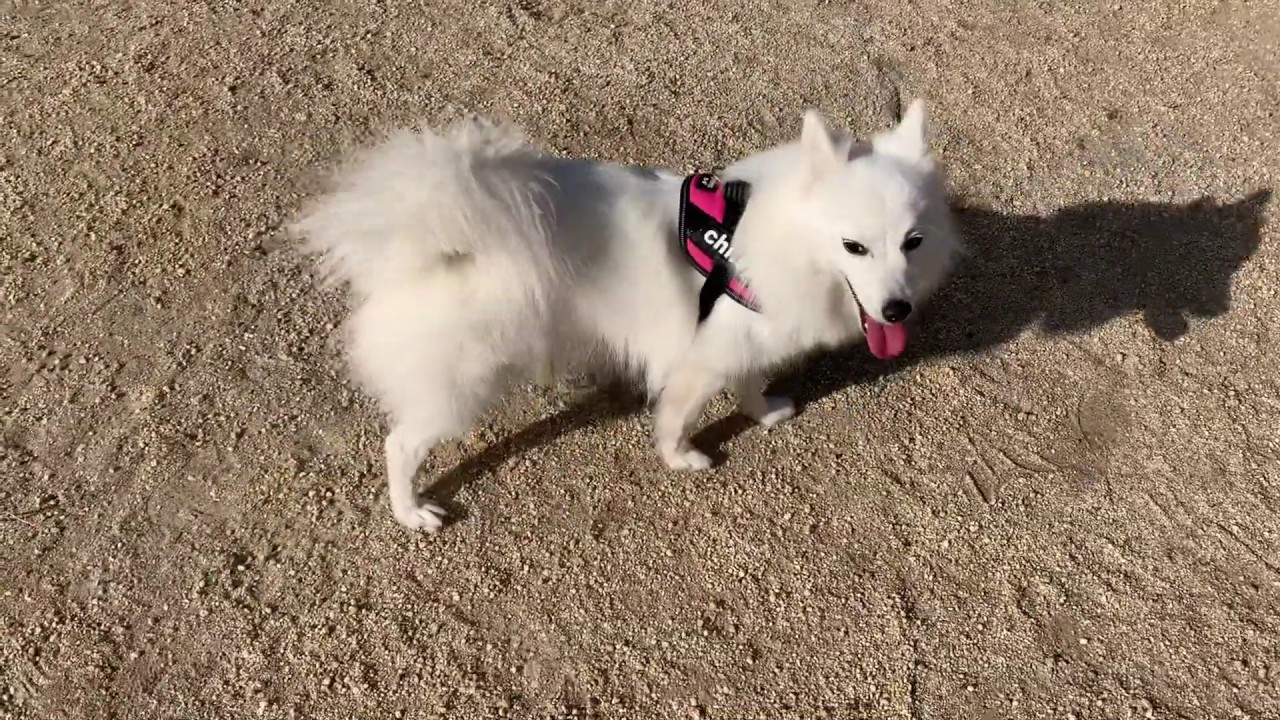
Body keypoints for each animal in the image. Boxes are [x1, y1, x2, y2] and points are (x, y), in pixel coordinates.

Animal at [294, 99, 962, 527]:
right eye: (854, 247)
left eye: (913, 242)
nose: (896, 308)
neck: (766, 240)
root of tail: (429, 239)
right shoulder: (698, 360)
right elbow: (676, 417)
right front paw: (682, 458)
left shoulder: (741, 341)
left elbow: (749, 384)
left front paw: (763, 412)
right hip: (460, 386)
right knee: (399, 445)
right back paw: (411, 512)